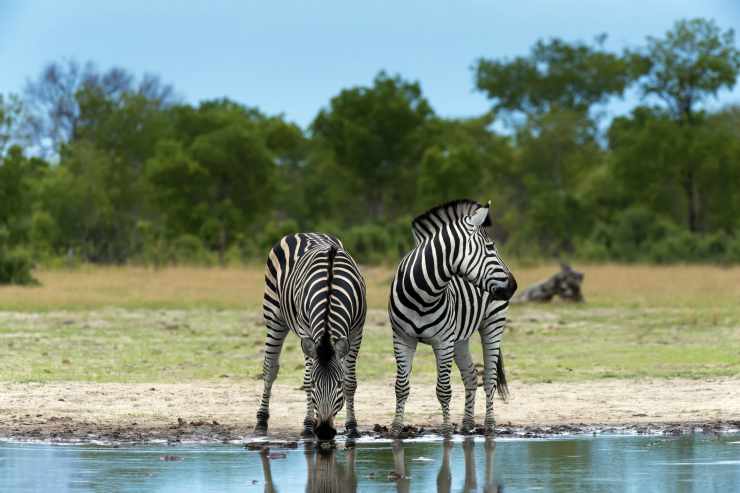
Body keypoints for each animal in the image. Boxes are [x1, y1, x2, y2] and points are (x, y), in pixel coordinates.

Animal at [254, 233, 368, 440]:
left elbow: (351, 382)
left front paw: (352, 427)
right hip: (274, 315)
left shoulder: (357, 332)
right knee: (270, 369)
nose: (324, 432)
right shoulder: (306, 332)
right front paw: (307, 426)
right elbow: (305, 380)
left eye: (338, 384)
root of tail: (305, 233)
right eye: (315, 384)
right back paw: (261, 422)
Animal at [390, 198, 516, 436]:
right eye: (490, 248)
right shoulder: (402, 338)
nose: (514, 286)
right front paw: (395, 430)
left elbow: (443, 390)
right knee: (471, 375)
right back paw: (467, 424)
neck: (423, 294)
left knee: (489, 379)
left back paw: (489, 425)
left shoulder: (443, 341)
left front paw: (447, 430)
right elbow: (401, 387)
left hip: (492, 323)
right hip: (460, 338)